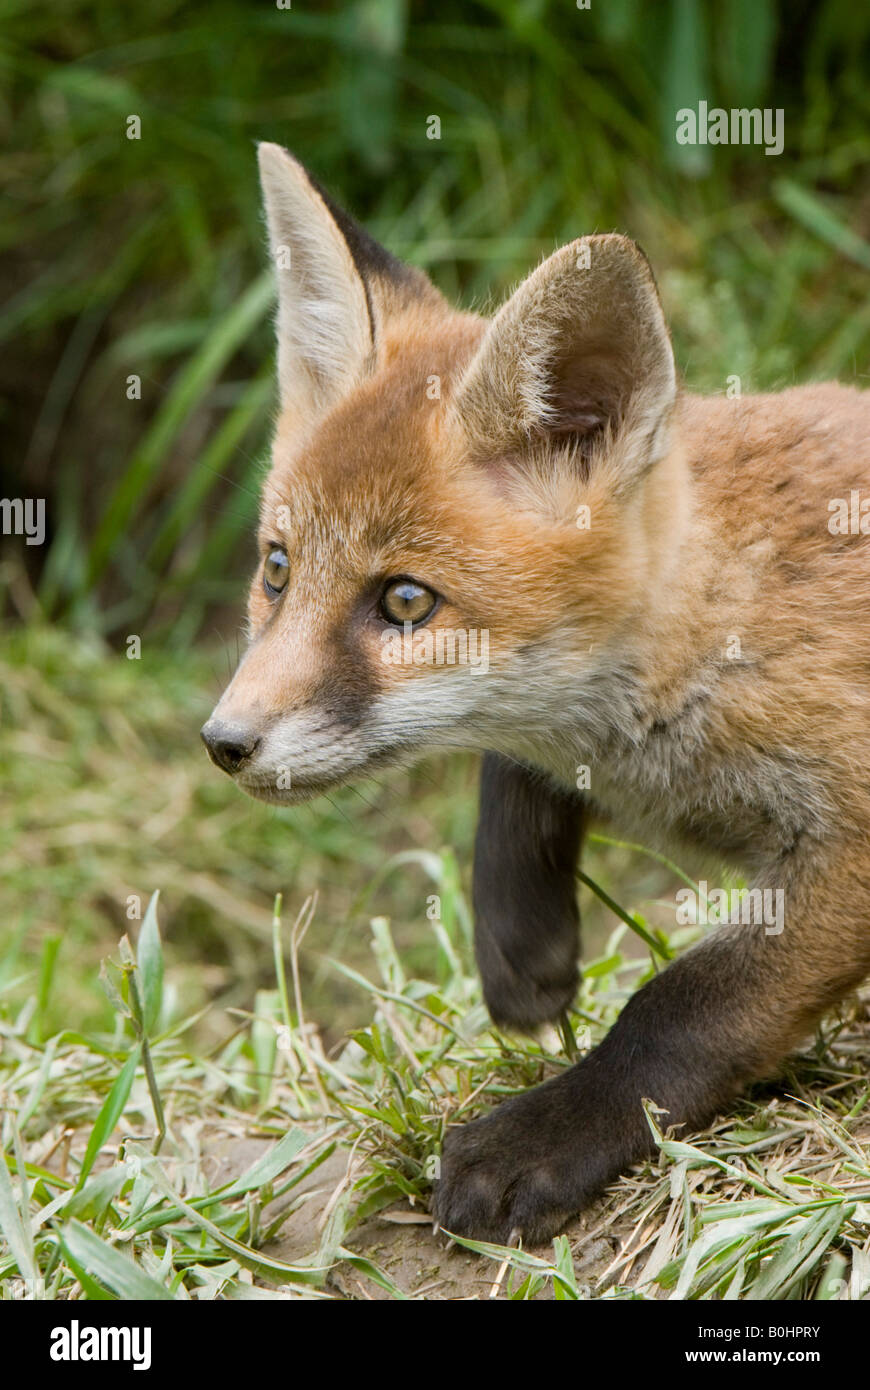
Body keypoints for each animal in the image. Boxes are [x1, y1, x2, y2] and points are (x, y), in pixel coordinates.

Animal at [200, 143, 867, 1251]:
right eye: (279, 569)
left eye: (406, 601)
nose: (225, 741)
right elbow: (509, 769)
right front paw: (522, 947)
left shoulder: (846, 844)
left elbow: (685, 1005)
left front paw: (540, 1140)